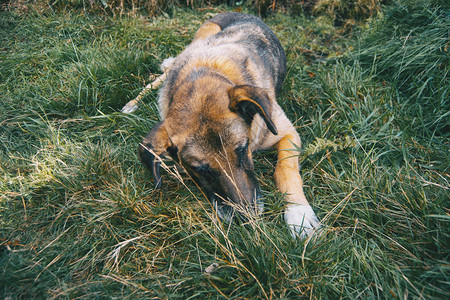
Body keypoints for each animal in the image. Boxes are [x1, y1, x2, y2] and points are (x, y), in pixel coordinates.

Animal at [121, 12, 322, 239]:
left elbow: (285, 169)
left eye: (243, 150)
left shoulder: (286, 133)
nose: (248, 218)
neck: (204, 73)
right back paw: (133, 103)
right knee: (158, 79)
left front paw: (299, 213)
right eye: (201, 170)